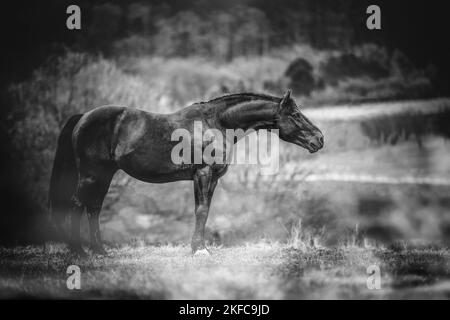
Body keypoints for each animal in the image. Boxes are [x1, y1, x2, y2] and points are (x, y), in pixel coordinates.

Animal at [48, 91, 324, 256]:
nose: (319, 139)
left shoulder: (211, 179)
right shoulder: (203, 174)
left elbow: (205, 210)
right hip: (91, 175)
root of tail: (83, 116)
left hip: (104, 174)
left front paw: (199, 247)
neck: (216, 123)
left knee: (93, 207)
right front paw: (199, 250)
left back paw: (100, 251)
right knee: (77, 205)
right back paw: (79, 252)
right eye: (296, 114)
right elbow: (200, 211)